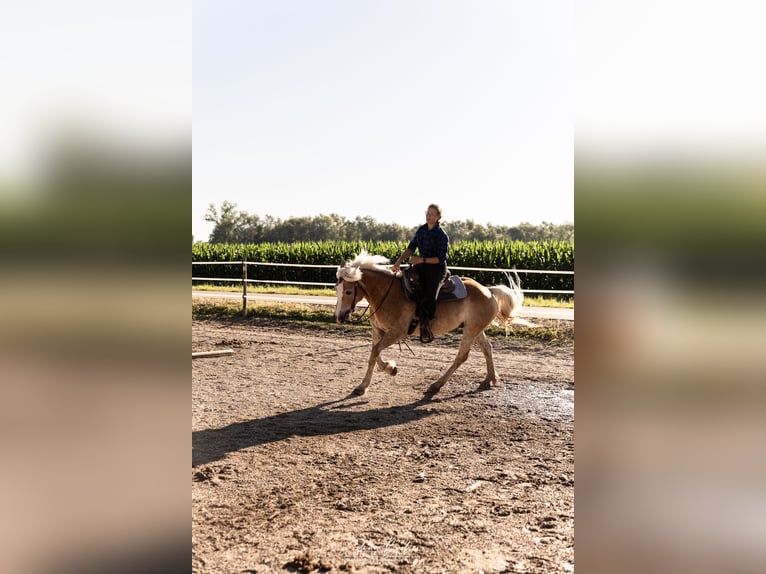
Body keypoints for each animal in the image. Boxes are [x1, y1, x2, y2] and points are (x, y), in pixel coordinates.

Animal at [334, 251, 524, 396]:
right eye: (337, 289)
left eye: (349, 291)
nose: (339, 317)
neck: (388, 294)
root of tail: (489, 291)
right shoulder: (377, 330)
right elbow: (375, 353)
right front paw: (390, 368)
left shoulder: (397, 332)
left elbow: (374, 352)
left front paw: (362, 386)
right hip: (475, 328)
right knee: (487, 348)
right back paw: (489, 379)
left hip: (471, 330)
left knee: (462, 356)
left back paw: (436, 385)